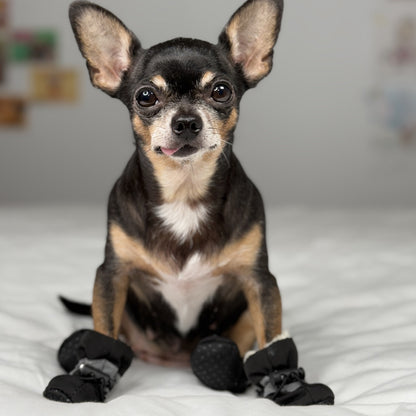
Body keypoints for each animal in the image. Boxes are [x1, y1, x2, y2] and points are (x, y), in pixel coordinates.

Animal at [43, 0, 334, 404]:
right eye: (146, 96)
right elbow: (102, 333)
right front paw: (87, 379)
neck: (184, 191)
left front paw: (289, 387)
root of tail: (175, 360)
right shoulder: (112, 276)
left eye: (221, 91)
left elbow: (271, 339)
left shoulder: (259, 282)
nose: (185, 121)